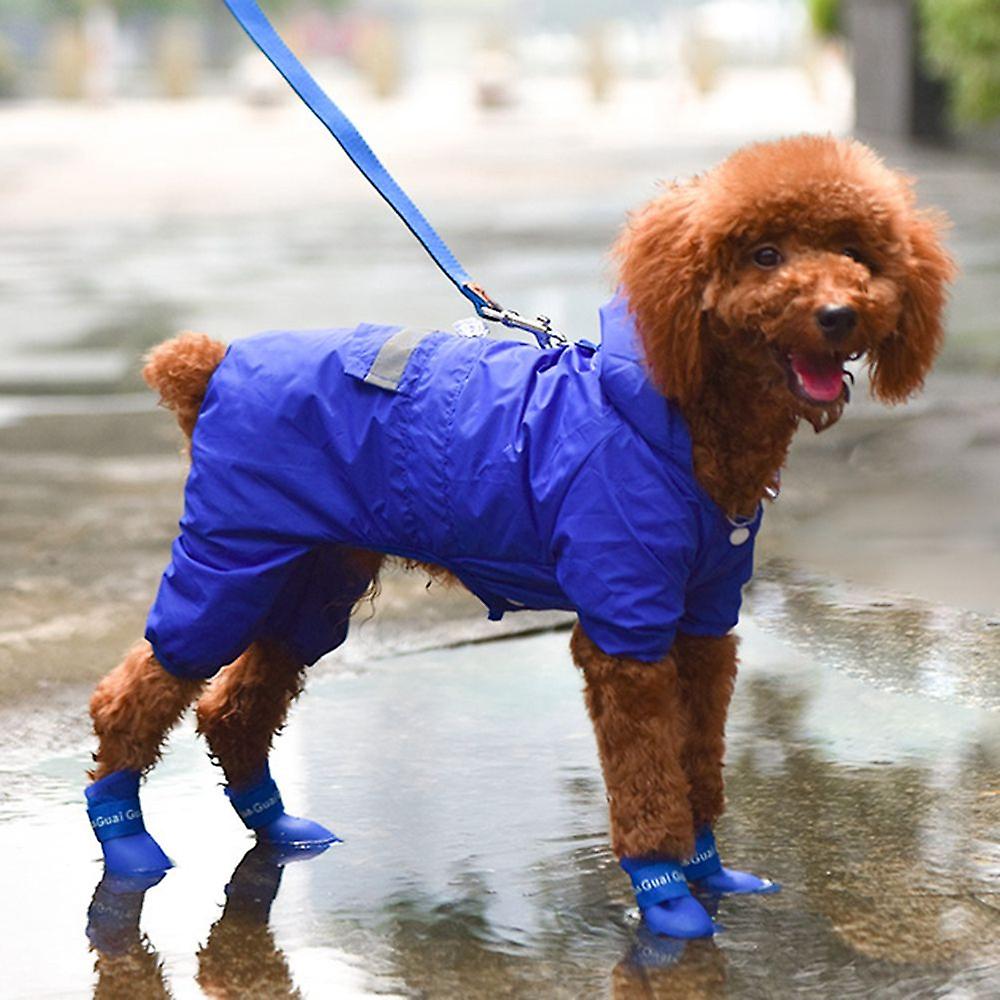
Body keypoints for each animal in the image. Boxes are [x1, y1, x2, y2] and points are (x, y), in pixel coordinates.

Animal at [84, 137, 952, 940]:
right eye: (765, 254)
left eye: (858, 254)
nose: (840, 314)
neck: (676, 426)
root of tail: (214, 365)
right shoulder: (626, 629)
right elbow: (647, 773)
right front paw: (665, 893)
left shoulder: (705, 621)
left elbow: (697, 755)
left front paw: (710, 871)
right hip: (234, 558)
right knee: (138, 691)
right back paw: (125, 843)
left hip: (313, 578)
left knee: (237, 704)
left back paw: (276, 828)